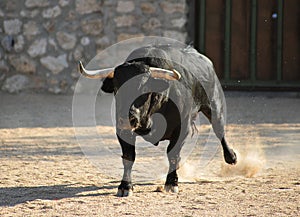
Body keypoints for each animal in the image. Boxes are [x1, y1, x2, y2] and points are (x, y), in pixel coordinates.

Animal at [77, 44, 237, 197]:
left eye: (144, 88)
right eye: (117, 88)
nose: (128, 118)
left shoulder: (183, 127)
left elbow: (173, 155)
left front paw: (171, 183)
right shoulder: (122, 130)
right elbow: (128, 157)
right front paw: (125, 186)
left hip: (214, 106)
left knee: (219, 130)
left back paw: (231, 157)